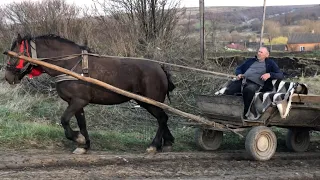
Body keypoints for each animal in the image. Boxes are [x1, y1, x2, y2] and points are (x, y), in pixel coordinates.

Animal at [4, 34, 175, 155]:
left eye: (15, 55)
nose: (7, 77)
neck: (71, 66)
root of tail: (160, 67)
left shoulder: (78, 101)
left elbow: (64, 120)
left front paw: (78, 139)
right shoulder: (75, 103)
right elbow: (82, 124)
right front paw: (84, 145)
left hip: (150, 101)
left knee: (162, 119)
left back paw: (154, 145)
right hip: (149, 102)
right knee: (163, 119)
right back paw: (167, 142)